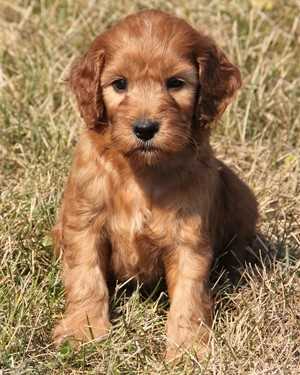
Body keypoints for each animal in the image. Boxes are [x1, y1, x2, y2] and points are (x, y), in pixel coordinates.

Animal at [52, 10, 258, 360]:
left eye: (175, 83)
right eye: (119, 84)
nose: (145, 128)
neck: (142, 172)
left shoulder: (189, 239)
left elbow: (190, 295)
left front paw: (187, 347)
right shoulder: (84, 223)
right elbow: (85, 277)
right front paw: (84, 330)